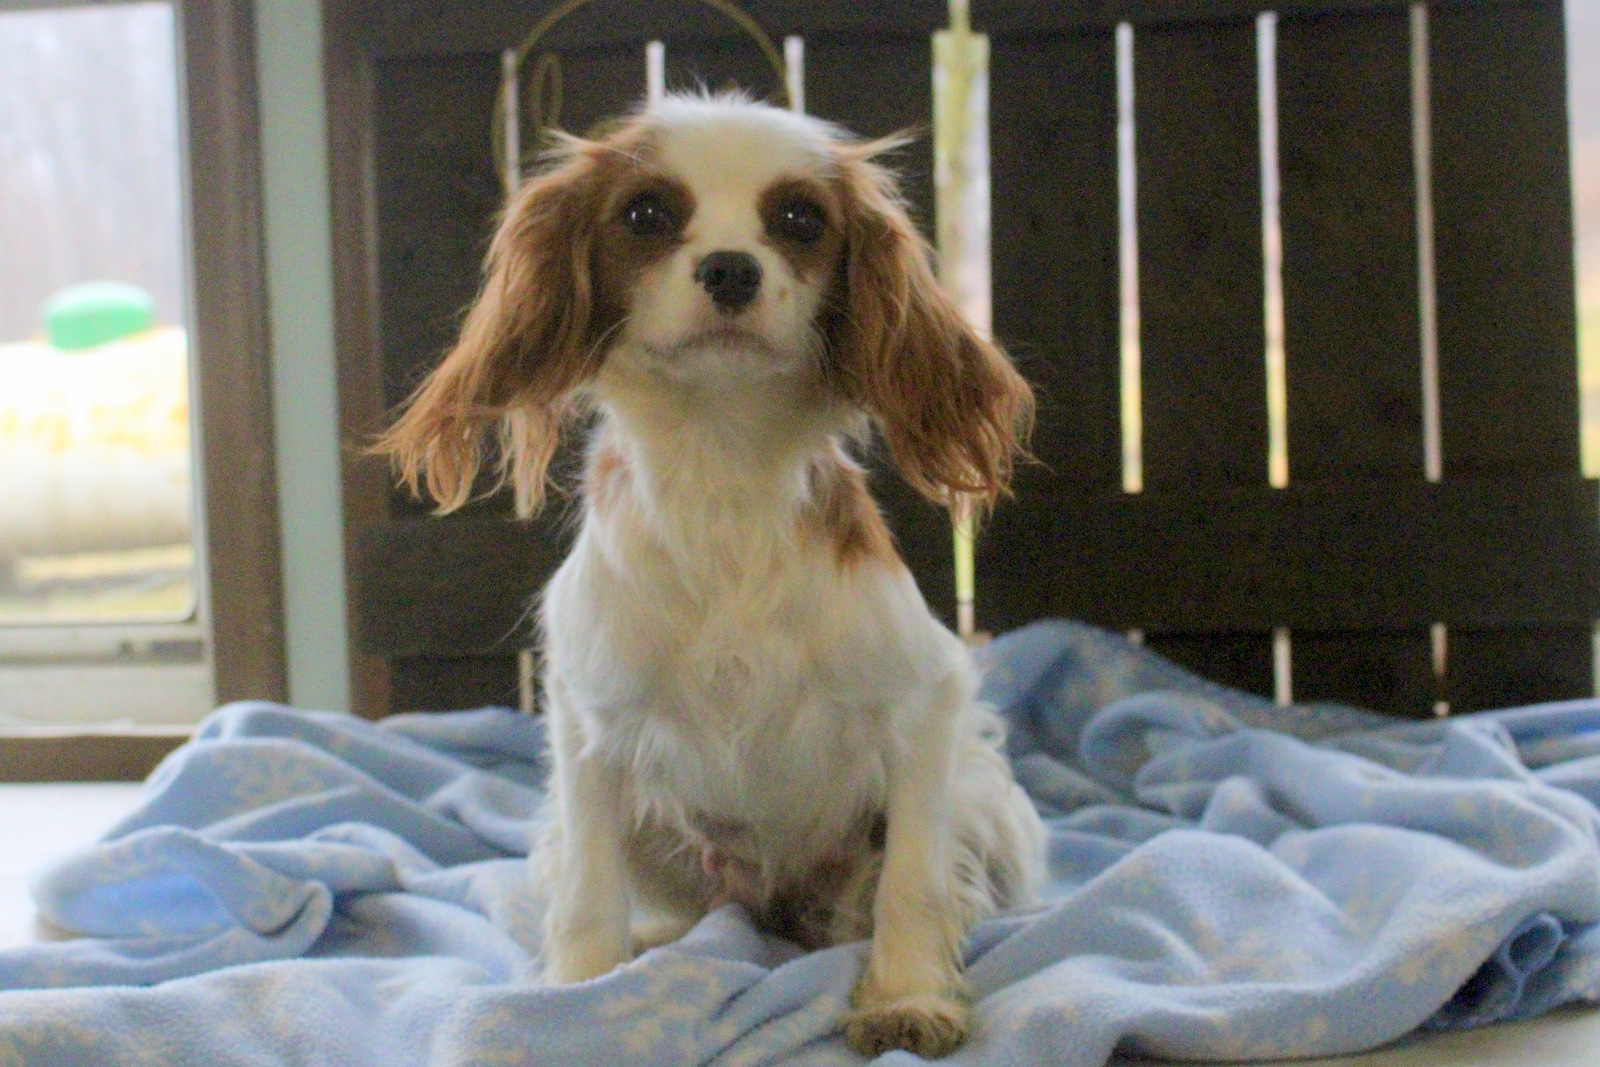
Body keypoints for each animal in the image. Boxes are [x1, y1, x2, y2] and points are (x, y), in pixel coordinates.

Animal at [378, 93, 1045, 1058]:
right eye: (646, 214)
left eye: (800, 218)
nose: (730, 268)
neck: (721, 468)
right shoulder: (588, 729)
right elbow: (589, 893)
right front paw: (573, 996)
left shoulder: (928, 701)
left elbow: (912, 881)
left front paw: (907, 995)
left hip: (988, 802)